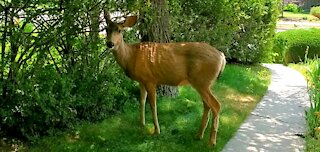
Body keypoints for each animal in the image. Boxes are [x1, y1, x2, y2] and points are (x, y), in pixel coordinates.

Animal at [104, 13, 226, 146]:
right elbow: (142, 101)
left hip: (202, 81)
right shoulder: (141, 80)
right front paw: (142, 124)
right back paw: (199, 135)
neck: (131, 57)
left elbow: (153, 105)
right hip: (202, 83)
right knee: (207, 105)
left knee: (216, 105)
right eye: (106, 29)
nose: (110, 43)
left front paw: (156, 130)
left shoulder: (150, 80)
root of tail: (222, 57)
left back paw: (212, 141)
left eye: (119, 30)